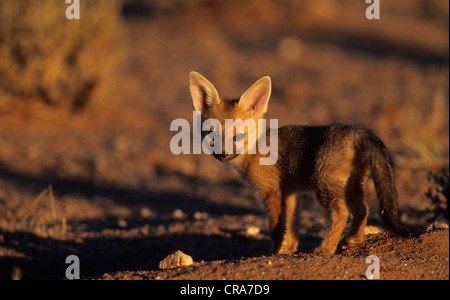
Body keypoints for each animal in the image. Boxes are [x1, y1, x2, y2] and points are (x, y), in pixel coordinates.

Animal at [188, 71, 410, 254]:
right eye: (212, 135)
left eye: (238, 136)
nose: (222, 154)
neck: (254, 151)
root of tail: (355, 130)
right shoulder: (290, 193)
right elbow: (292, 226)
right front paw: (289, 250)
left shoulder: (271, 191)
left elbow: (277, 229)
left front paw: (275, 253)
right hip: (352, 185)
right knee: (363, 210)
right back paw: (353, 240)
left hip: (324, 185)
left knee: (342, 213)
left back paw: (326, 249)